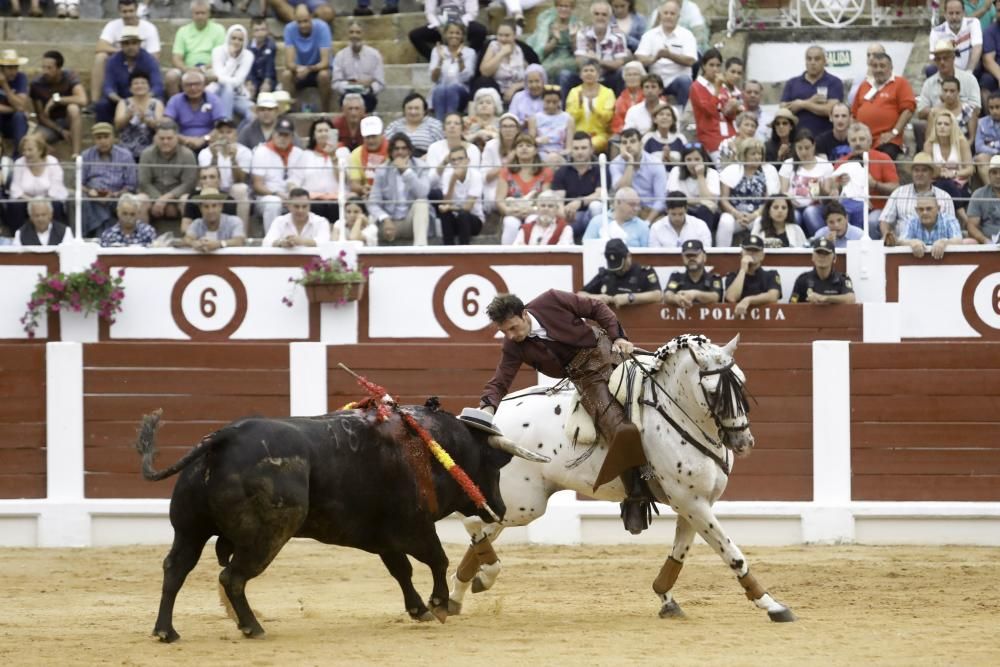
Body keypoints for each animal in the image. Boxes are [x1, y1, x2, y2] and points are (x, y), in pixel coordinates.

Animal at [138, 402, 536, 640]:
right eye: (495, 465)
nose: (499, 508)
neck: (430, 448)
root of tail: (223, 437)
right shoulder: (414, 528)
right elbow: (437, 560)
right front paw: (437, 605)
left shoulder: (385, 537)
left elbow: (402, 571)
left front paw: (419, 609)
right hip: (267, 536)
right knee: (232, 577)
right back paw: (252, 627)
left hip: (189, 530)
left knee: (176, 569)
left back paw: (165, 631)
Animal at [450, 336, 792, 624]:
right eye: (712, 392)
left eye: (742, 382)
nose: (743, 442)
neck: (678, 414)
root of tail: (484, 422)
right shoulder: (691, 502)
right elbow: (733, 555)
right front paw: (773, 605)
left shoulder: (695, 503)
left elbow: (679, 553)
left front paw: (667, 600)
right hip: (523, 503)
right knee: (472, 522)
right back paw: (478, 579)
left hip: (517, 504)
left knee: (480, 530)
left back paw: (457, 594)